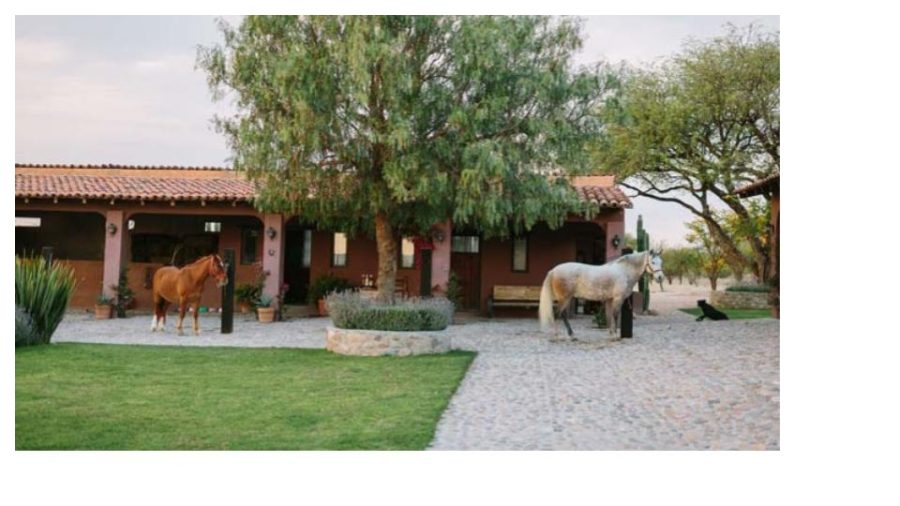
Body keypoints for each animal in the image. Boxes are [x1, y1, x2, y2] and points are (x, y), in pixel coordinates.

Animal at [536, 250, 664, 340]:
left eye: (661, 262)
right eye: (653, 262)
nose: (660, 277)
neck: (624, 271)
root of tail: (553, 270)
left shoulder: (610, 300)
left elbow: (609, 316)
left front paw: (611, 334)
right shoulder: (618, 299)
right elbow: (615, 315)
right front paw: (615, 335)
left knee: (562, 314)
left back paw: (571, 335)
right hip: (564, 298)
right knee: (557, 313)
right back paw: (558, 335)